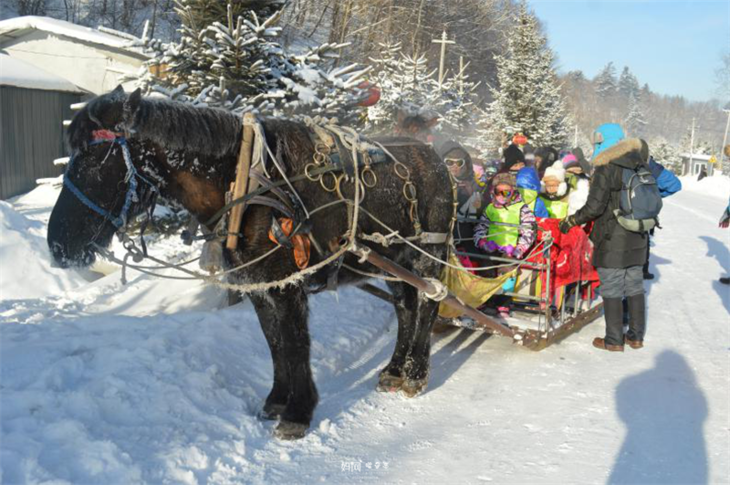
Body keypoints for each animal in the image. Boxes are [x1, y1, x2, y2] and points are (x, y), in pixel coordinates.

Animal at [45, 86, 452, 438]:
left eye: (94, 159)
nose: (57, 244)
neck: (242, 181)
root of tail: (437, 160)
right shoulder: (258, 285)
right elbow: (274, 344)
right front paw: (276, 401)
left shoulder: (286, 284)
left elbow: (295, 344)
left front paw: (298, 414)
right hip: (392, 263)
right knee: (405, 308)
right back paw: (394, 370)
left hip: (428, 254)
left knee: (429, 303)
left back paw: (416, 374)